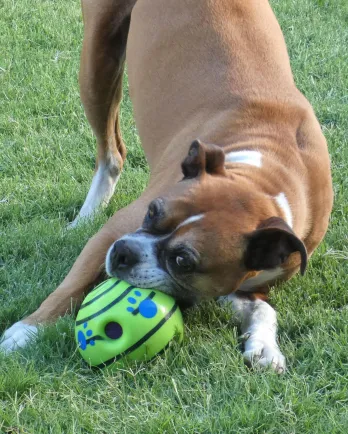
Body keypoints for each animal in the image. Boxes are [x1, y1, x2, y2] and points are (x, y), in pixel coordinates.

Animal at [0, 0, 334, 372]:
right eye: (151, 212)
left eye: (183, 261)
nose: (123, 251)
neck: (266, 173)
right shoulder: (112, 230)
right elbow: (71, 285)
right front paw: (26, 331)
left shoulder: (249, 281)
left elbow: (263, 308)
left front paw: (264, 347)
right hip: (96, 63)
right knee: (109, 151)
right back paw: (87, 214)